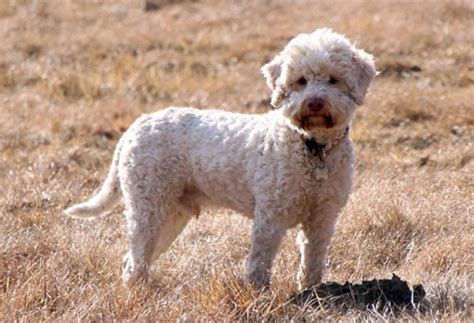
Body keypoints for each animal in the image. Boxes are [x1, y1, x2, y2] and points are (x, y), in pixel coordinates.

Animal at [65, 29, 378, 290]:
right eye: (300, 81)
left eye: (333, 80)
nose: (314, 103)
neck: (312, 147)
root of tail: (136, 125)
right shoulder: (270, 215)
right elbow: (260, 261)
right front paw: (258, 293)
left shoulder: (323, 218)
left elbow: (312, 260)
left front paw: (310, 292)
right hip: (148, 206)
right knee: (135, 259)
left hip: (170, 214)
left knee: (134, 259)